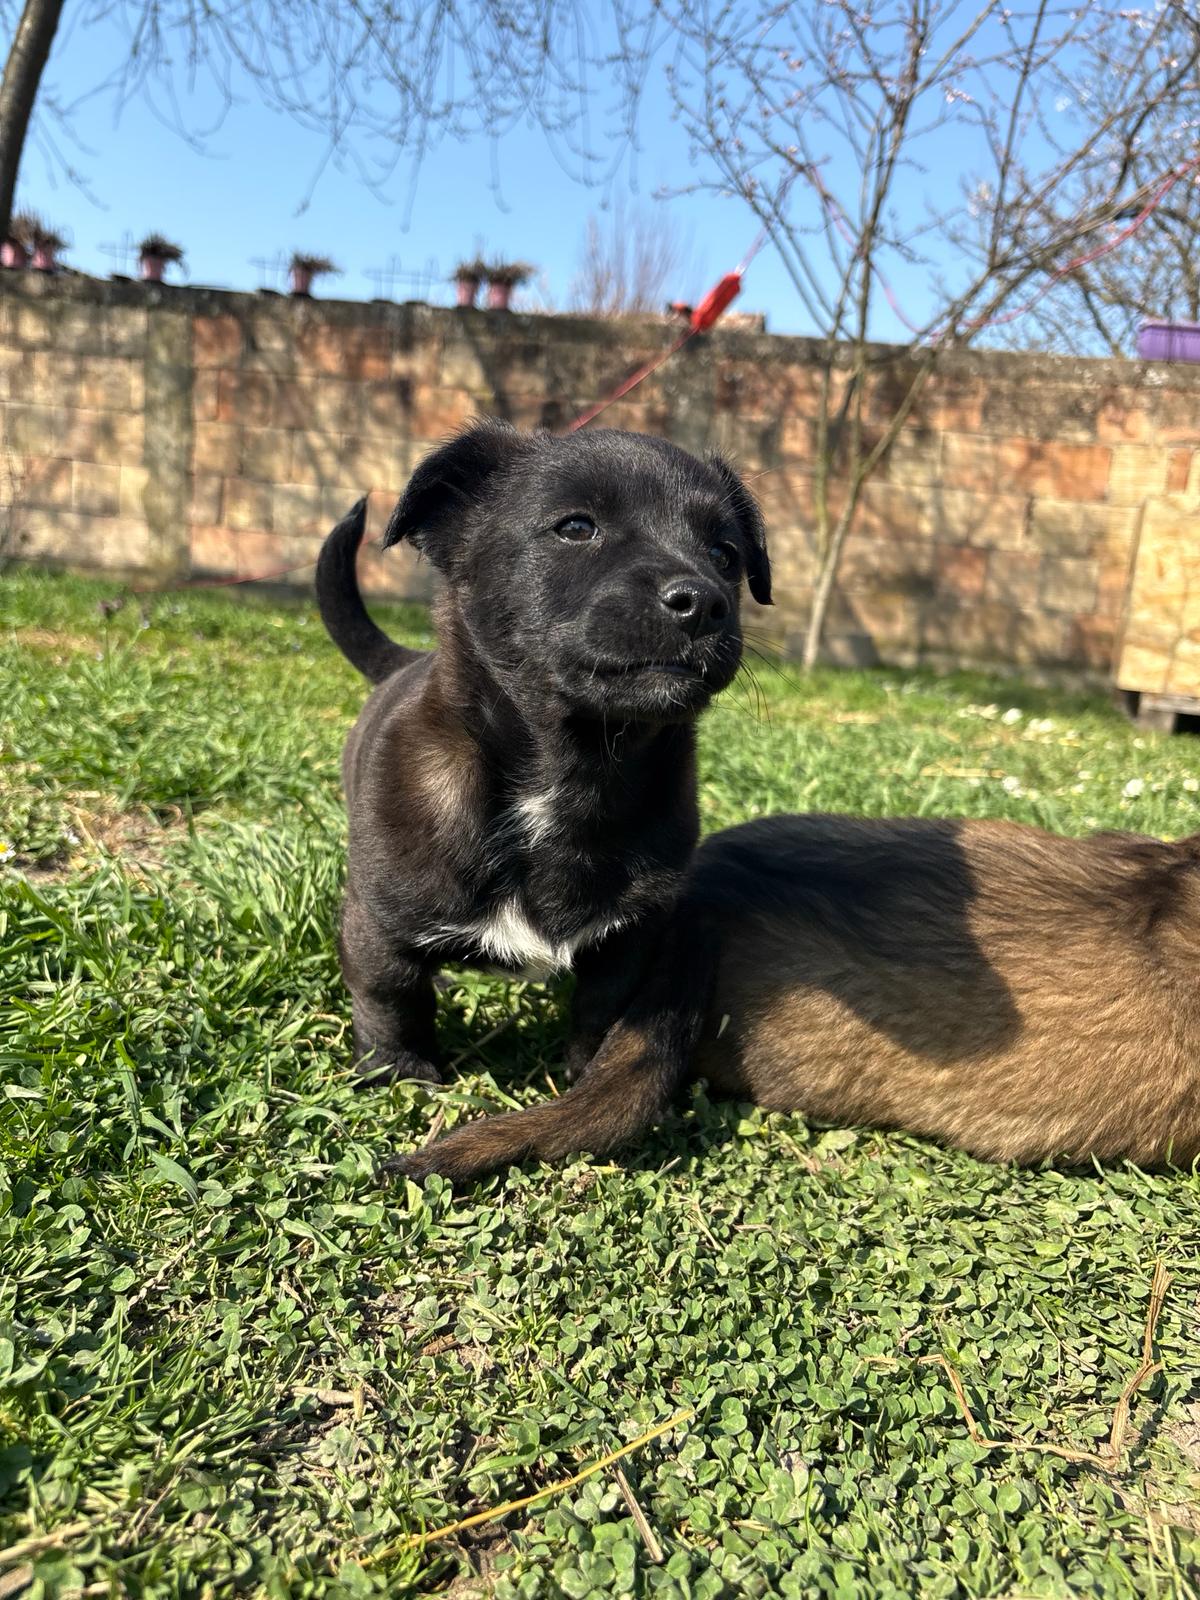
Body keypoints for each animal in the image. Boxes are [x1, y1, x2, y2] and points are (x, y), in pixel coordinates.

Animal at [314, 419, 771, 1088]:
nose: (704, 601)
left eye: (725, 555)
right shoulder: (377, 925)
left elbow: (601, 1010)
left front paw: (587, 1073)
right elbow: (389, 999)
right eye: (576, 528)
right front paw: (399, 1074)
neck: (570, 770)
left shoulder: (631, 938)